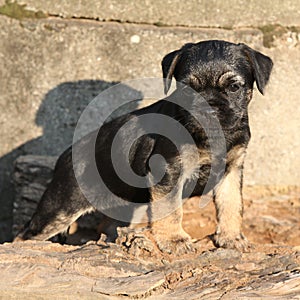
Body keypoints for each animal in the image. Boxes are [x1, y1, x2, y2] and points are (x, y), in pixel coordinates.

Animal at [15, 39, 274, 253]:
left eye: (234, 87)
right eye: (186, 89)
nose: (207, 109)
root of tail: (64, 158)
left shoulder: (231, 170)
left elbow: (232, 204)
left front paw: (231, 238)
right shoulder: (170, 171)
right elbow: (171, 209)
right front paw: (174, 240)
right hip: (61, 207)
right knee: (25, 234)